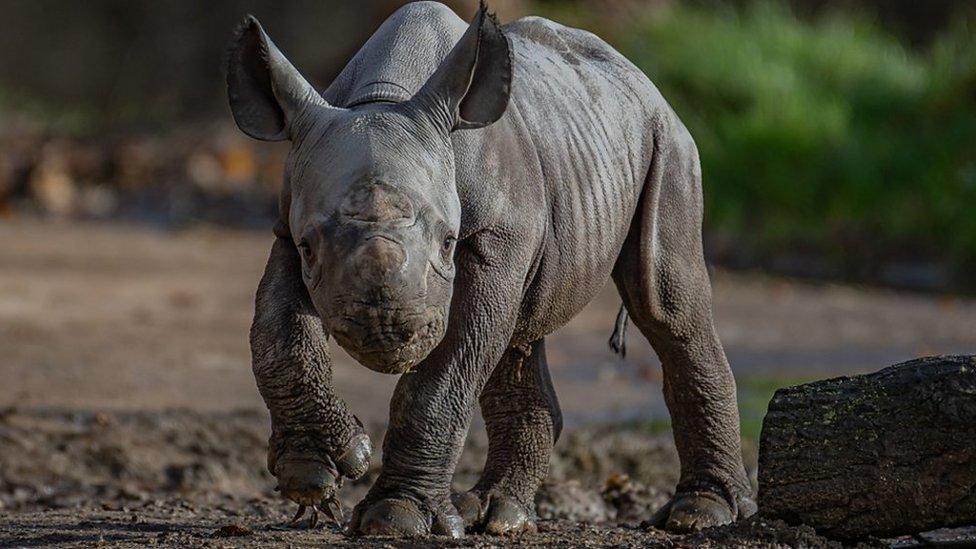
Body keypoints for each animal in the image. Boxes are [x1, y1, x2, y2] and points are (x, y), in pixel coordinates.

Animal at [227, 0, 756, 536]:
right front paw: (317, 474)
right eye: (310, 247)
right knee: (519, 332)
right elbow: (276, 337)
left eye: (447, 241)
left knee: (665, 305)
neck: (385, 95)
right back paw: (496, 514)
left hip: (667, 142)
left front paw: (396, 519)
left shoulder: (494, 235)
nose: (386, 330)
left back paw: (699, 513)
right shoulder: (286, 223)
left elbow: (446, 373)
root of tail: (641, 78)